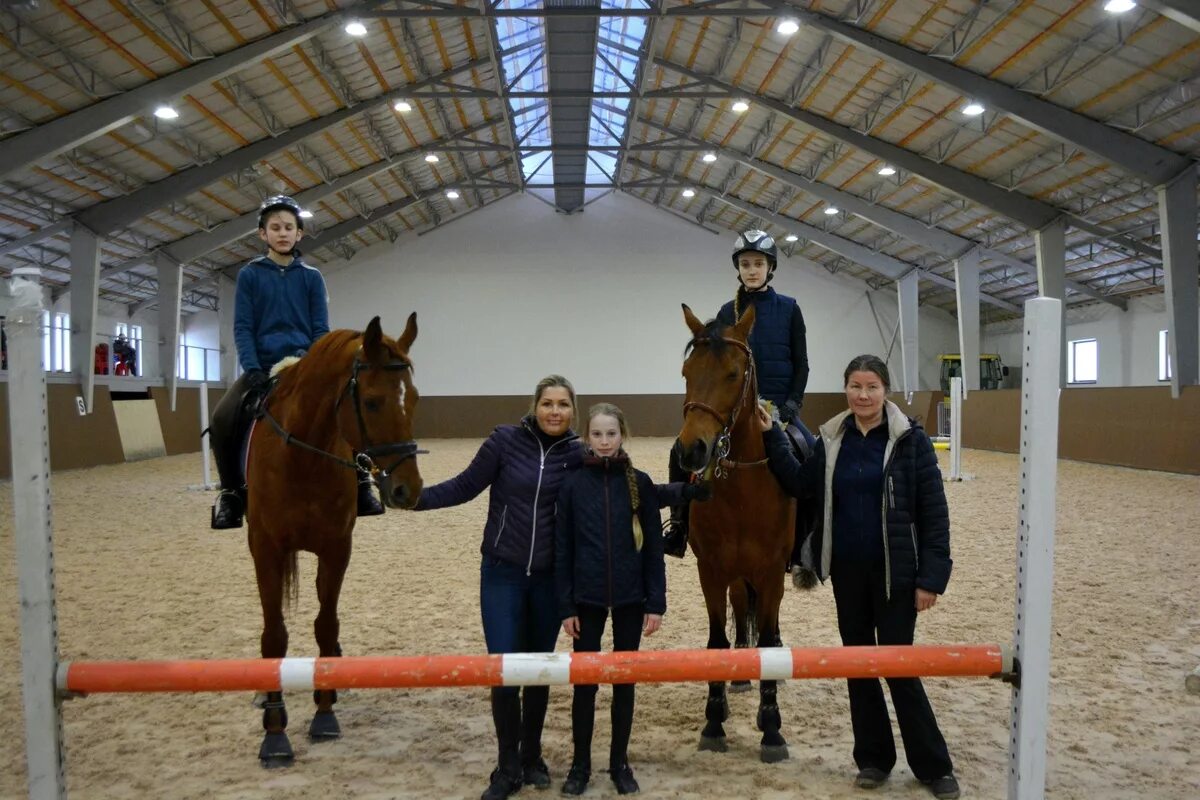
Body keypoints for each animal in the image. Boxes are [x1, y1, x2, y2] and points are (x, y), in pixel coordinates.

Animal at [243, 314, 422, 767]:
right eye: (372, 401)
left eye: (413, 399)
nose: (407, 490)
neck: (303, 457)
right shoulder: (266, 549)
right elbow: (274, 635)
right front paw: (274, 731)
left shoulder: (337, 547)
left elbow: (326, 624)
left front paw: (324, 711)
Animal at [672, 304, 801, 762]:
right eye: (687, 371)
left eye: (733, 373)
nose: (691, 450)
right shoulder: (711, 571)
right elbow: (716, 643)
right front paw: (713, 723)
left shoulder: (771, 572)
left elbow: (768, 639)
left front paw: (772, 730)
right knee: (740, 609)